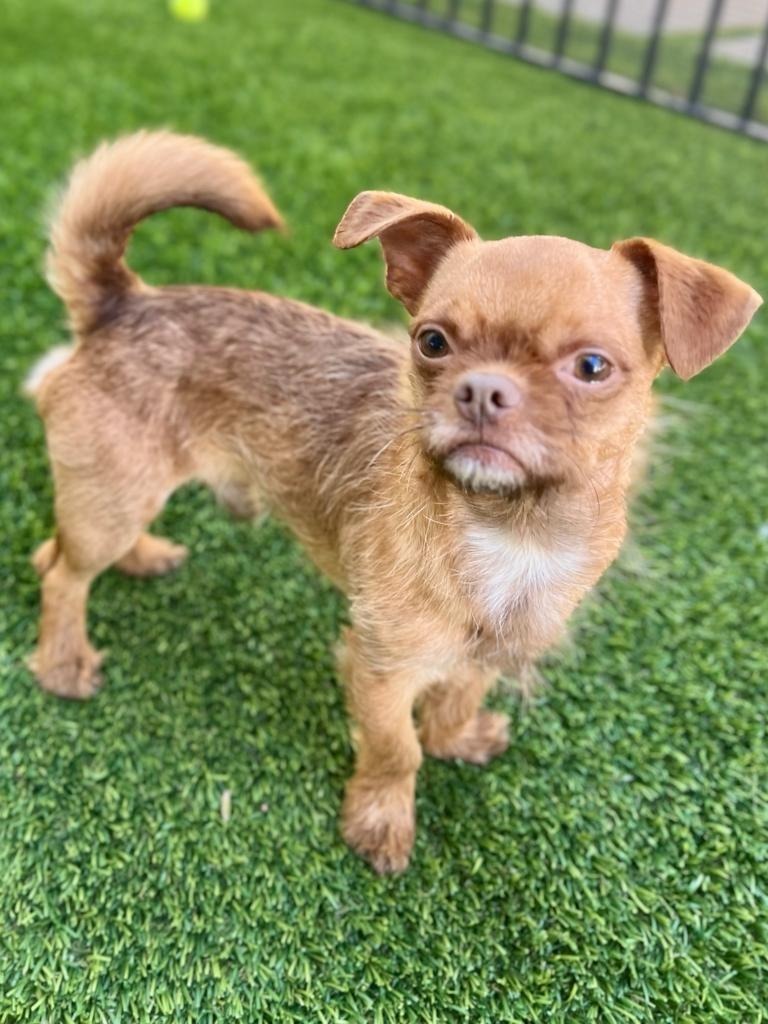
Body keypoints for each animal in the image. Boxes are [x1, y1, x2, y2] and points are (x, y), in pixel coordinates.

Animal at [25, 134, 765, 872]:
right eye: (432, 342)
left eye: (591, 367)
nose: (482, 390)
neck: (508, 533)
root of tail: (124, 302)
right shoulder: (380, 668)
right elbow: (396, 750)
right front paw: (380, 821)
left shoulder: (489, 653)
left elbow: (456, 699)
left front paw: (454, 738)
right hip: (115, 496)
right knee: (66, 577)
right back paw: (62, 663)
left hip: (114, 492)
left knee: (58, 550)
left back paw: (138, 559)